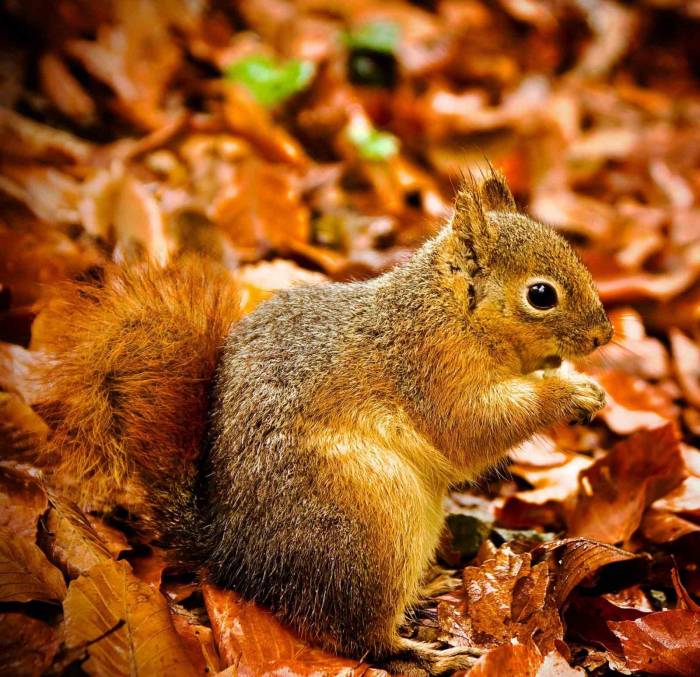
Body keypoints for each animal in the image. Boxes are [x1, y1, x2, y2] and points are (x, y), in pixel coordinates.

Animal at [34, 170, 612, 676]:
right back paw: (423, 656)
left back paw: (428, 590)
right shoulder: (431, 370)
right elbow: (473, 426)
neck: (449, 313)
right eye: (541, 295)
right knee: (355, 633)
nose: (604, 335)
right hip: (371, 523)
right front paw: (570, 391)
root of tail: (233, 552)